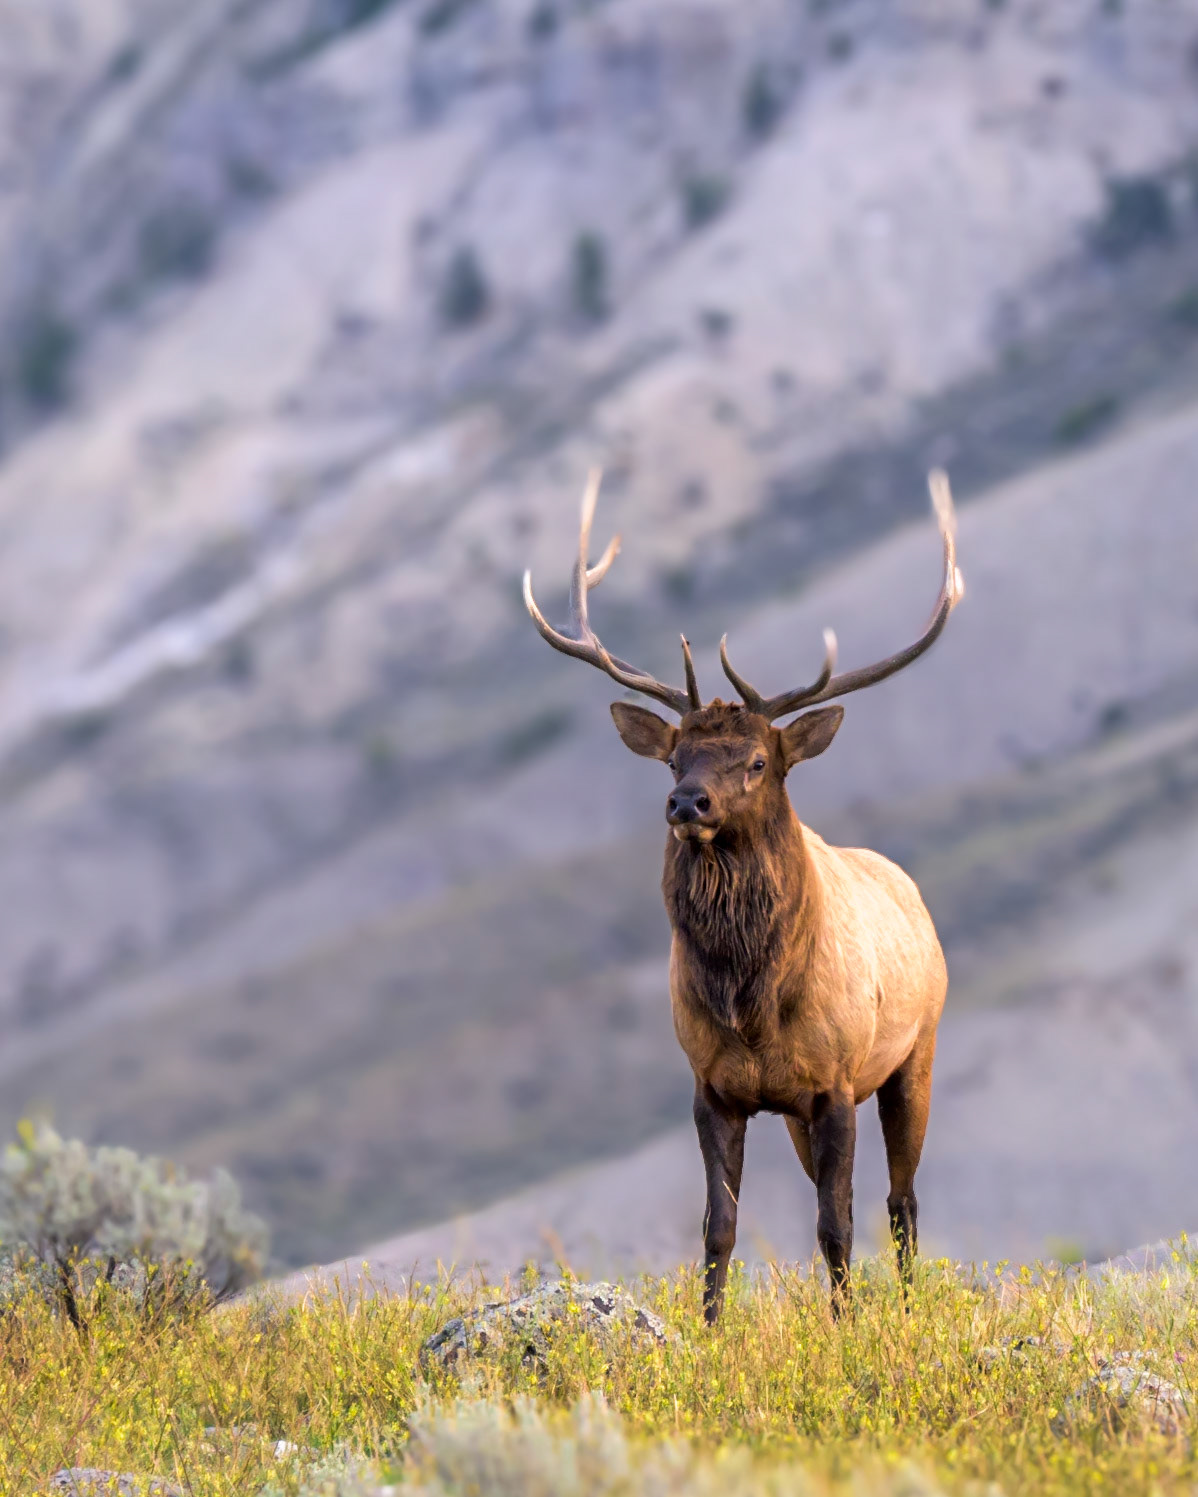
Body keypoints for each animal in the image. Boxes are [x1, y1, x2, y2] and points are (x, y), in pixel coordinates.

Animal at [523, 469, 964, 1322]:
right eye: (674, 758)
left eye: (758, 761)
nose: (686, 802)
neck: (750, 999)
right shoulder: (714, 1087)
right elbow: (718, 1227)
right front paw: (709, 1328)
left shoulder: (835, 1080)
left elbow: (836, 1222)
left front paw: (846, 1326)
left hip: (913, 1051)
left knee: (901, 1199)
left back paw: (904, 1303)